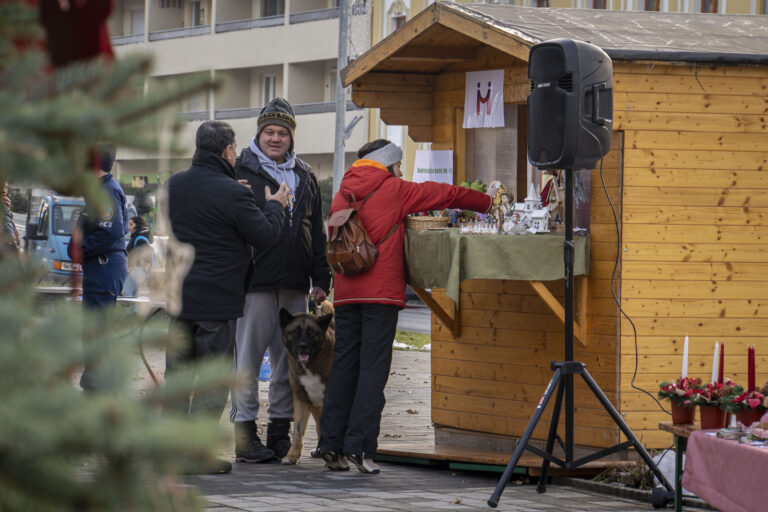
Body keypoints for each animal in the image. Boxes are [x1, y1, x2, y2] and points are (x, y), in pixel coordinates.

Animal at [278, 301, 334, 465]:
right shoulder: (301, 399)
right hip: (316, 404)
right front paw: (292, 456)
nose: (303, 345)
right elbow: (298, 430)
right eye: (295, 332)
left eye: (311, 332)